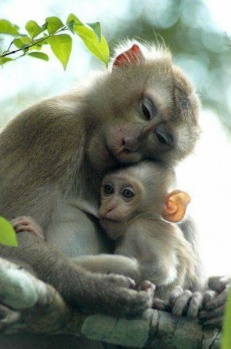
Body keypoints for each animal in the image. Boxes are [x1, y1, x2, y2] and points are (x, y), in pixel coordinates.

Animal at [0, 41, 225, 346]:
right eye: (146, 110)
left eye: (161, 138)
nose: (129, 143)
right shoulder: (54, 127)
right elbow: (10, 235)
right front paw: (99, 290)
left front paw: (202, 293)